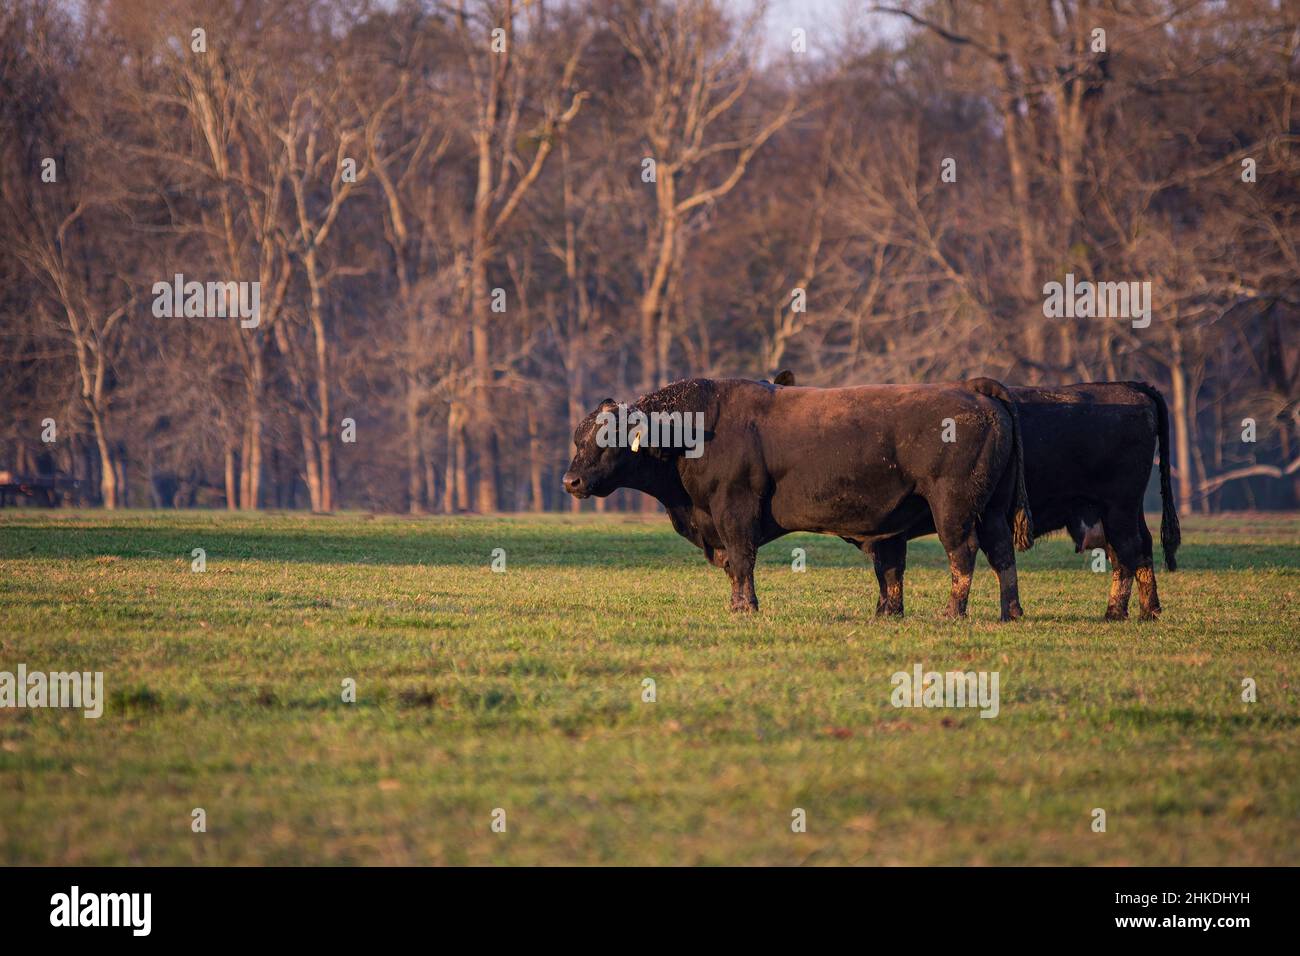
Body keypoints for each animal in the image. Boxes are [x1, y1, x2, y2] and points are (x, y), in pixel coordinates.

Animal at [564, 377, 1029, 616]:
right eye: (577, 439)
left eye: (607, 439)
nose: (571, 481)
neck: (693, 431)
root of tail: (981, 395)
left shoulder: (734, 509)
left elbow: (741, 560)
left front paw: (745, 607)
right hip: (992, 511)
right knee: (1001, 555)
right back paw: (1009, 612)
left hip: (954, 509)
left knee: (963, 553)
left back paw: (953, 611)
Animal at [857, 385, 1185, 624]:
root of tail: (1133, 389)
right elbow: (888, 569)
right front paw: (884, 611)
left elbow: (888, 568)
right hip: (1122, 511)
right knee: (1137, 550)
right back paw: (1144, 612)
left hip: (1118, 509)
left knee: (1129, 550)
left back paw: (1120, 613)